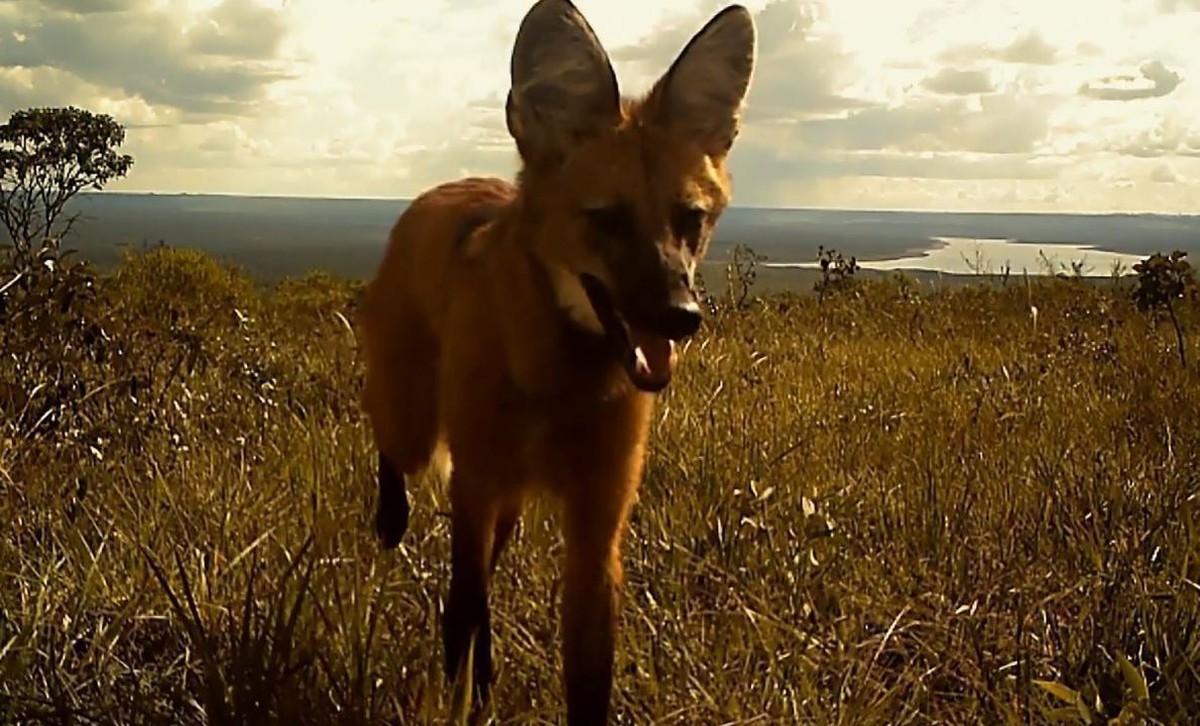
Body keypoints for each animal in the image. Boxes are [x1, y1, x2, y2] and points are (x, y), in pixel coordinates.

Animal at [352, 1, 758, 720]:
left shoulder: (596, 526)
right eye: (607, 219)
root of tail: (441, 189)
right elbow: (462, 615)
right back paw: (391, 520)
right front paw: (462, 694)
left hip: (506, 502)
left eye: (690, 220)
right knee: (393, 449)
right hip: (420, 428)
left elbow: (583, 674)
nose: (681, 317)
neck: (559, 384)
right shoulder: (478, 482)